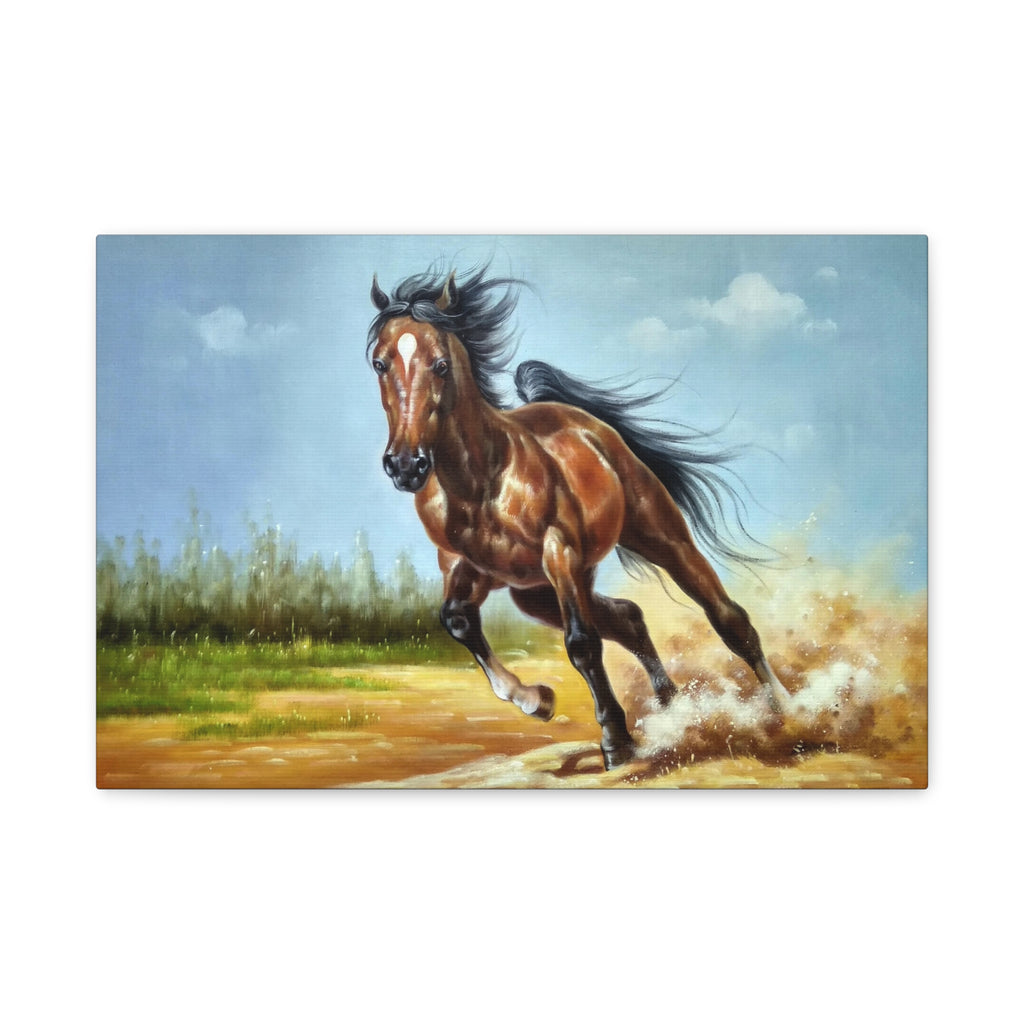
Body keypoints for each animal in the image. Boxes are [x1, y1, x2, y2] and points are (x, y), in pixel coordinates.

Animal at [367, 265, 786, 770]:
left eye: (441, 364)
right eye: (380, 363)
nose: (405, 465)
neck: (483, 480)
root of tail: (588, 425)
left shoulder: (558, 552)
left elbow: (581, 644)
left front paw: (615, 744)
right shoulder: (464, 566)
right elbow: (458, 621)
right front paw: (539, 701)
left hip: (659, 539)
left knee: (728, 618)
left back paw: (785, 710)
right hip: (538, 594)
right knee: (628, 618)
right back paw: (674, 711)